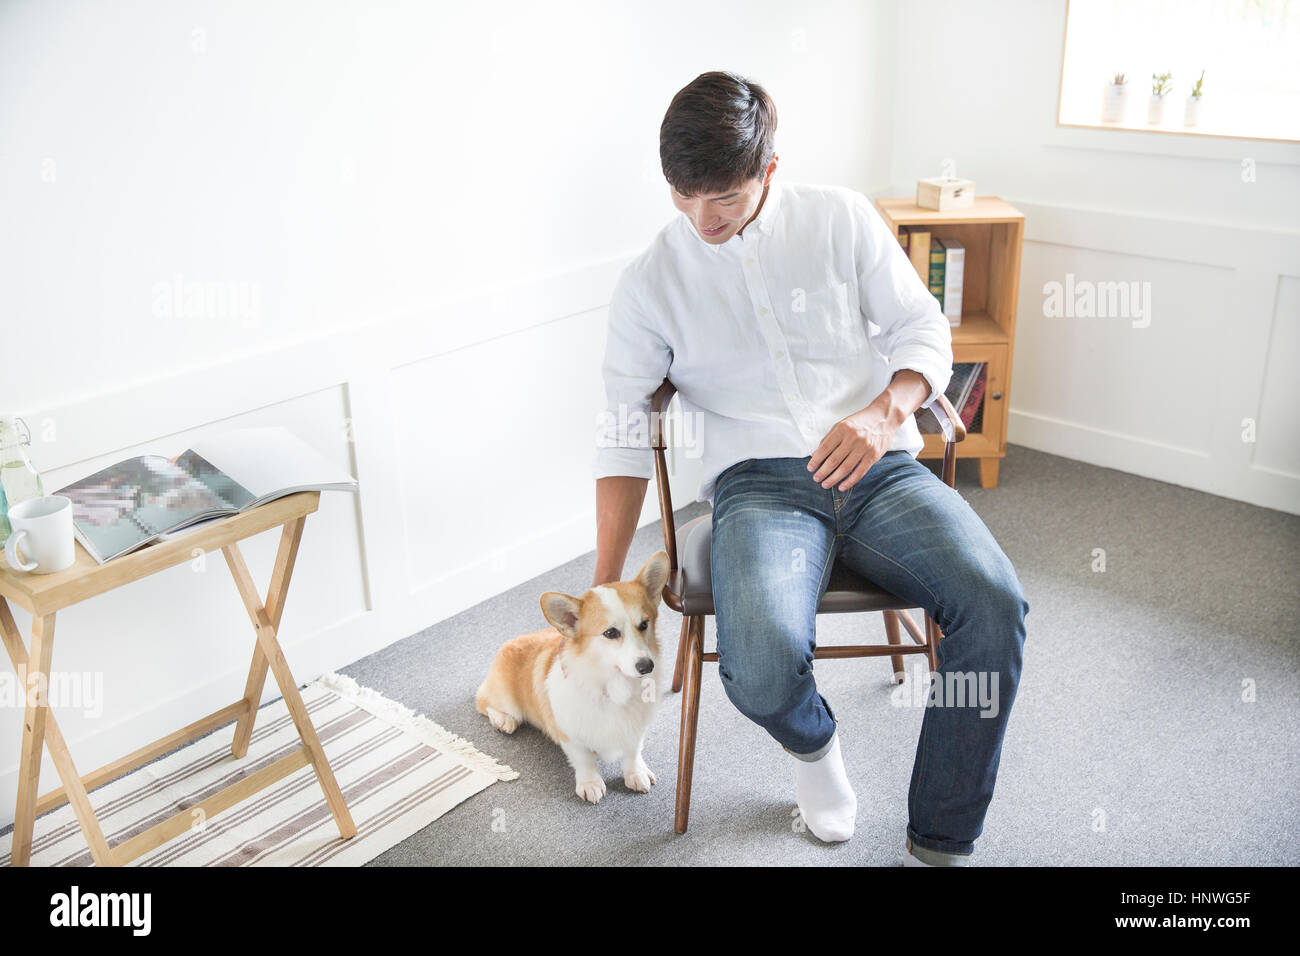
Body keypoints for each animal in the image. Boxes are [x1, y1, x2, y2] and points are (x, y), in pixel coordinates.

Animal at [475, 548, 670, 806]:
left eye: (644, 624)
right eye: (611, 633)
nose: (647, 666)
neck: (616, 688)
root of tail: (510, 641)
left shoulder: (636, 730)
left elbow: (633, 751)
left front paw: (636, 774)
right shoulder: (570, 735)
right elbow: (584, 760)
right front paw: (590, 784)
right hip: (505, 700)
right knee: (482, 700)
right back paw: (503, 720)